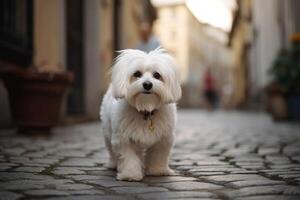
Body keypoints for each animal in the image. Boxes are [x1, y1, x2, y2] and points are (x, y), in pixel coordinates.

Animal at [100, 47, 180, 181]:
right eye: (137, 74)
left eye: (157, 75)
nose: (147, 84)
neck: (146, 109)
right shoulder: (124, 139)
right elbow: (129, 158)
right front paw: (130, 174)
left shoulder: (163, 139)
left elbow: (158, 155)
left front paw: (157, 171)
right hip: (108, 131)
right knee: (111, 150)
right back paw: (113, 164)